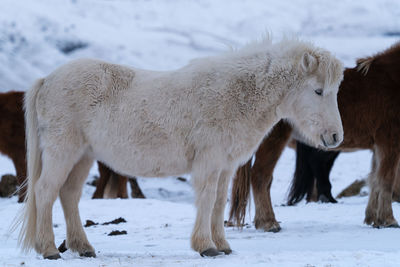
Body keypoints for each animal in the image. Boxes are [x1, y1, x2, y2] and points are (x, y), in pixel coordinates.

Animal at [18, 37, 344, 260]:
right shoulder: (208, 163)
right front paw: (206, 246)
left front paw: (222, 245)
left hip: (83, 156)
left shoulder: (224, 166)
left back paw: (82, 247)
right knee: (45, 192)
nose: (335, 136)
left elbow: (219, 202)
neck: (235, 96)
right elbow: (207, 199)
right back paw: (49, 249)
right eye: (318, 91)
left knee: (69, 195)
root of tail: (47, 79)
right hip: (63, 151)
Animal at [230, 41, 400, 230]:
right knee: (260, 175)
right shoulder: (389, 142)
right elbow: (386, 180)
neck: (392, 79)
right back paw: (269, 222)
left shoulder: (377, 146)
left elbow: (374, 180)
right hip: (273, 141)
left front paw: (372, 218)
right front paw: (388, 219)